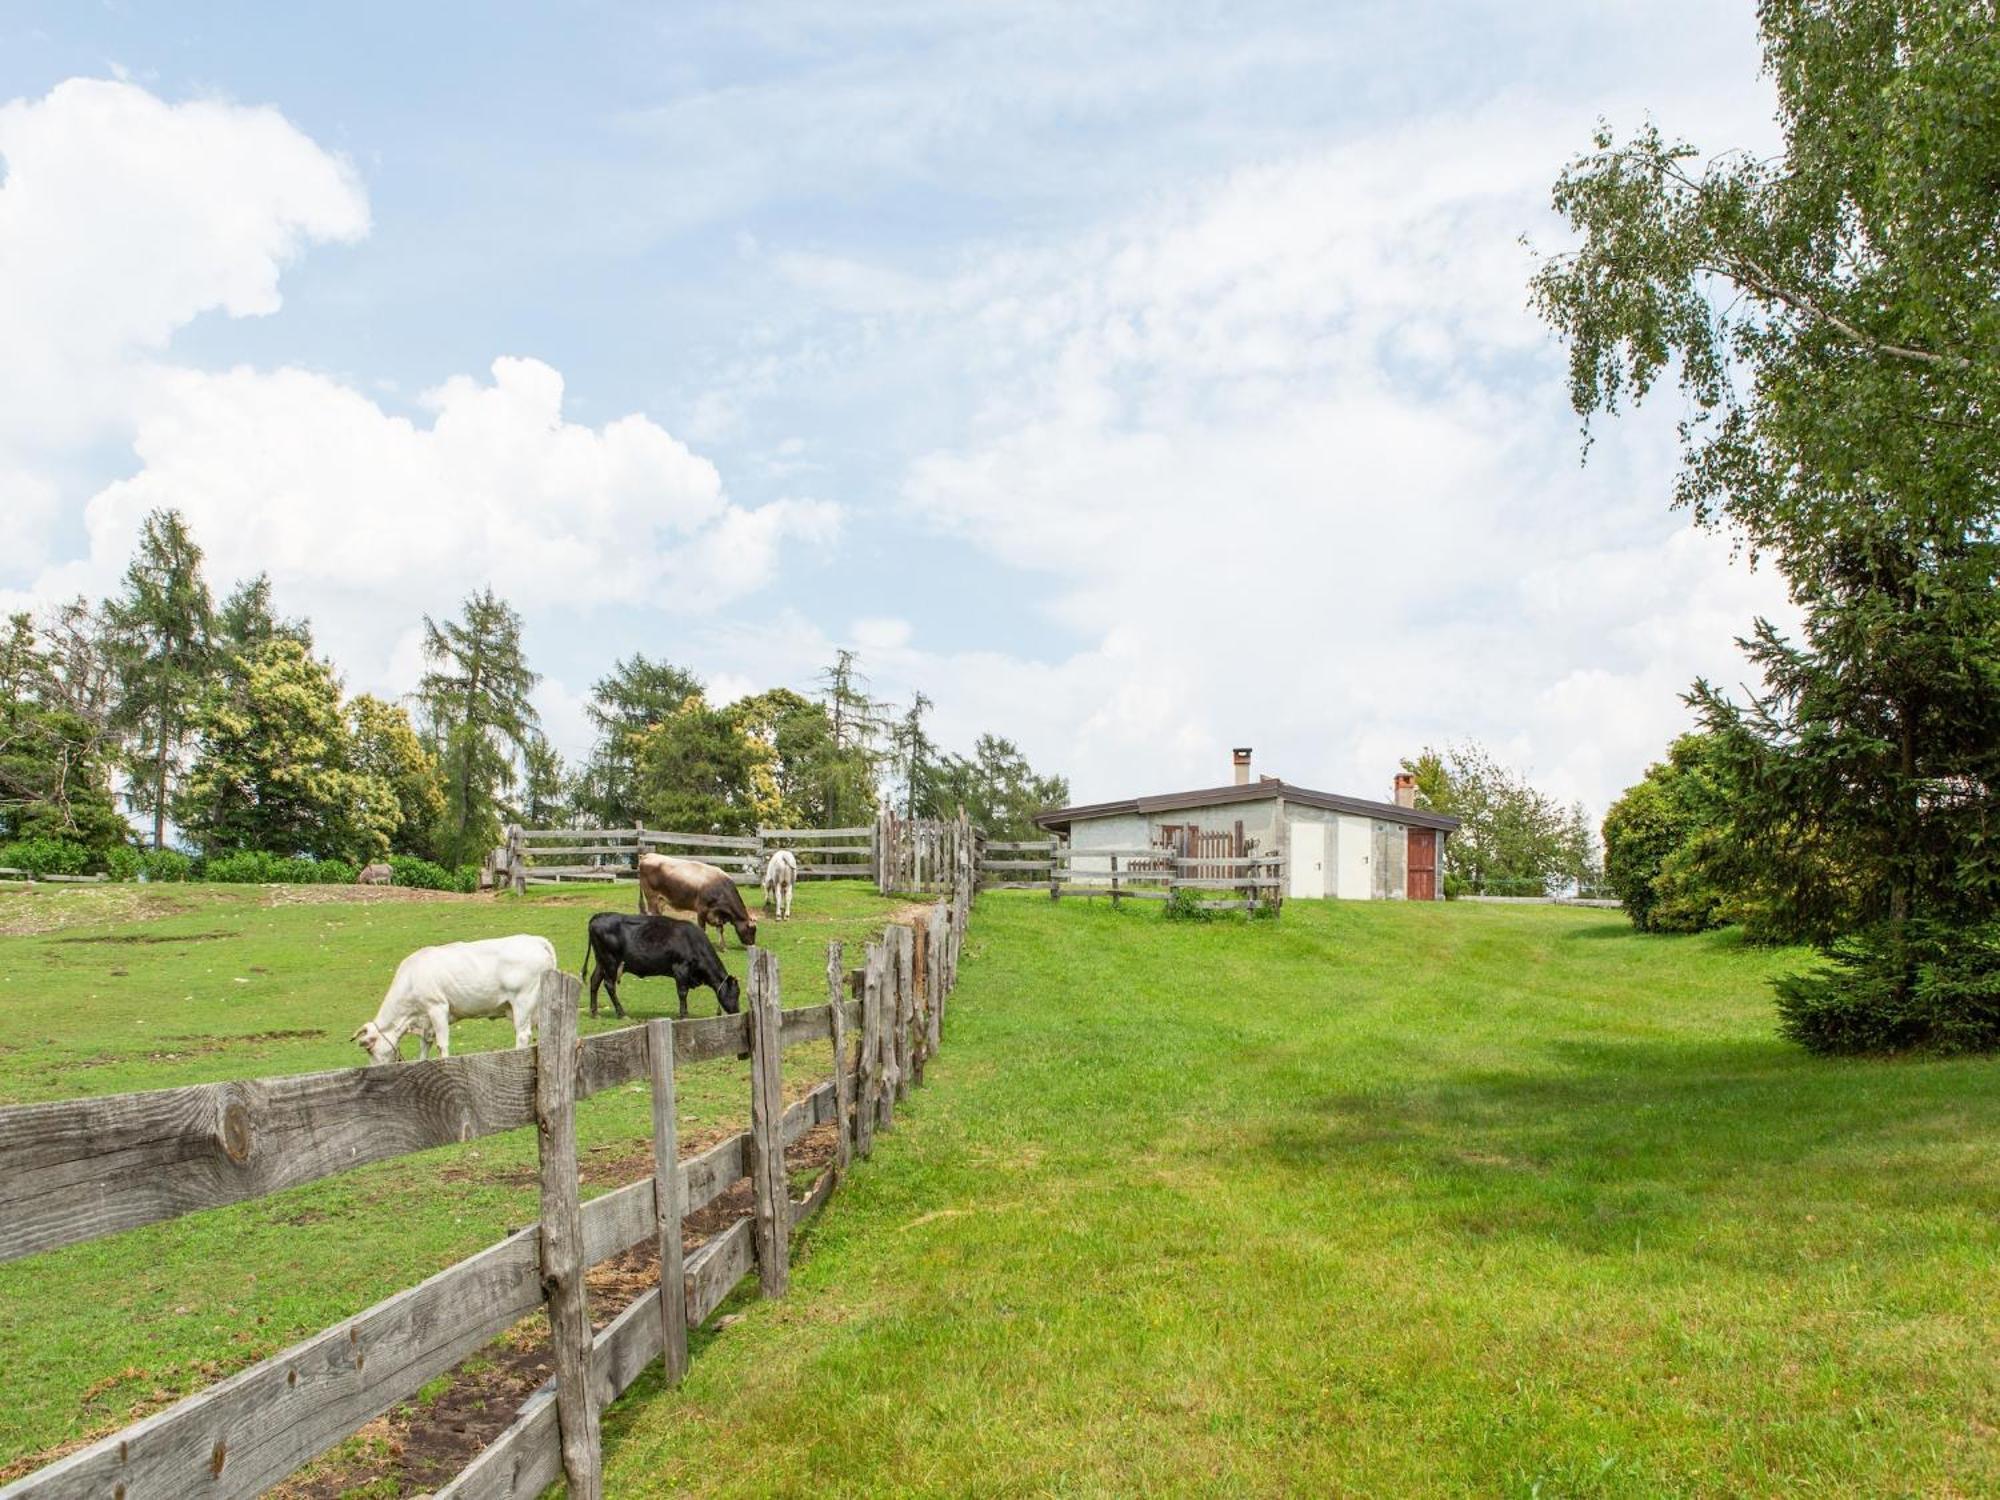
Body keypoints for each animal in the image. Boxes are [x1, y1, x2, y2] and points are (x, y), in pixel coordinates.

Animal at [356, 940, 560, 1072]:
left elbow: (441, 1045)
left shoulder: (437, 1007)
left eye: (369, 1048)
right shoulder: (426, 1021)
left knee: (523, 1034)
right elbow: (424, 1046)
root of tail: (534, 940)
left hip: (522, 1000)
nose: (373, 1070)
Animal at [580, 916, 744, 1024]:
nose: (737, 1012)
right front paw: (683, 1015)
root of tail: (598, 917)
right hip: (610, 962)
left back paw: (594, 1013)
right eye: (735, 994)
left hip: (601, 961)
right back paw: (621, 1014)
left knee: (595, 981)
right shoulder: (680, 968)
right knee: (609, 984)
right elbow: (682, 992)